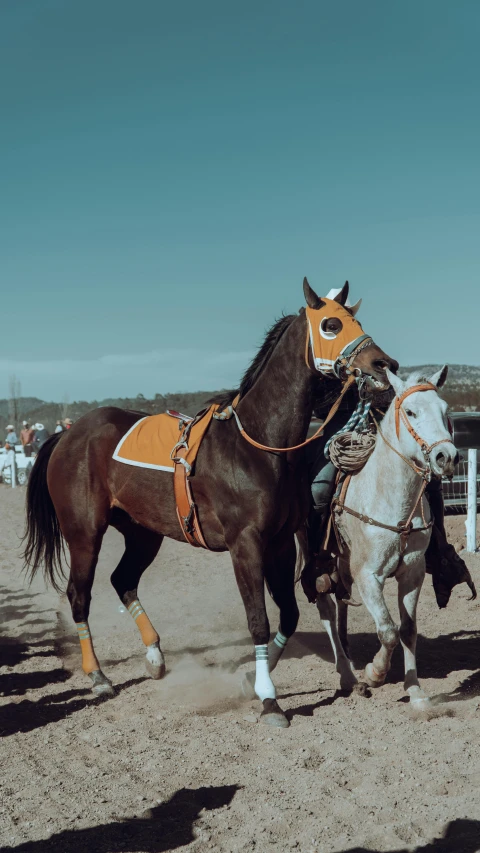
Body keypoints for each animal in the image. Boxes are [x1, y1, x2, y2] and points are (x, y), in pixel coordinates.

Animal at [24, 280, 396, 724]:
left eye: (357, 320)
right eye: (331, 324)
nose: (383, 364)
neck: (259, 444)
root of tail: (69, 433)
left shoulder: (280, 543)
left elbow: (287, 616)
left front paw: (253, 682)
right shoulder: (245, 545)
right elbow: (258, 620)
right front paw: (269, 699)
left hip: (143, 533)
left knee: (123, 580)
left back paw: (155, 657)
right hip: (84, 534)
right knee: (79, 596)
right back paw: (97, 675)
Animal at [316, 366, 456, 712]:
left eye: (445, 411)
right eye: (411, 411)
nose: (447, 457)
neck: (395, 504)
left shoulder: (413, 573)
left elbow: (407, 629)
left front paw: (415, 691)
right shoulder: (368, 575)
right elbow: (388, 630)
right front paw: (374, 673)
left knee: (341, 603)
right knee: (326, 606)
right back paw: (347, 675)